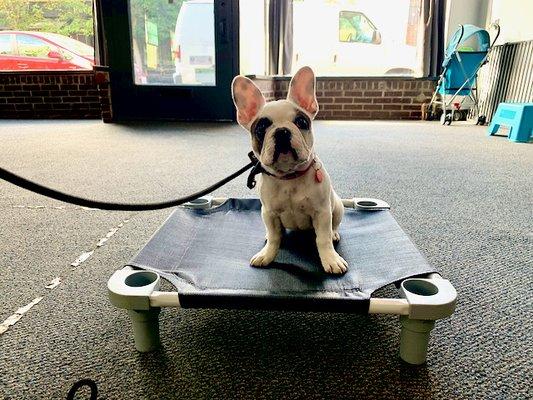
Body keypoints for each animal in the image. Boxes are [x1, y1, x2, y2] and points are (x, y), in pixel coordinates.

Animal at [231, 67, 348, 274]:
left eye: (301, 122)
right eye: (261, 128)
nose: (282, 131)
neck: (289, 177)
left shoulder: (322, 213)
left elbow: (323, 239)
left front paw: (331, 259)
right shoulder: (269, 213)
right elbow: (274, 237)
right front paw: (267, 254)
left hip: (337, 207)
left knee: (334, 225)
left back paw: (334, 234)